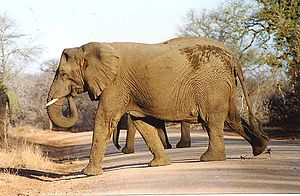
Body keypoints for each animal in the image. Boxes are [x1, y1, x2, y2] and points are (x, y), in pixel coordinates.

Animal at [47, 36, 270, 176]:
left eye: (63, 74)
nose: (69, 95)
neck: (92, 47)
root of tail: (232, 57)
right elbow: (142, 124)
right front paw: (159, 164)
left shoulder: (116, 84)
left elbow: (104, 120)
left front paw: (87, 174)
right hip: (223, 84)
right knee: (232, 117)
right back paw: (260, 148)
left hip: (211, 84)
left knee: (213, 120)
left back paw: (210, 159)